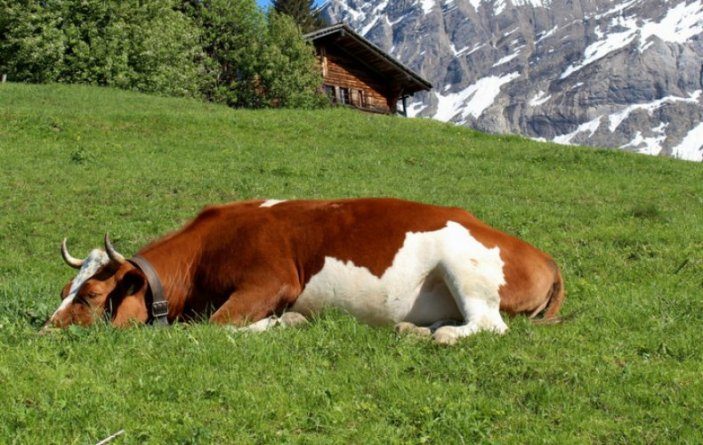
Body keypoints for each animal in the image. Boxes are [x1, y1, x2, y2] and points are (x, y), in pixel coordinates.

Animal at [45, 198, 564, 344]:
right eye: (66, 288)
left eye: (90, 296)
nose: (45, 331)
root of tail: (545, 256)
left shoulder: (272, 280)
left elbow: (213, 327)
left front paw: (283, 322)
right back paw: (414, 329)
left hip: (464, 266)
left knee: (488, 324)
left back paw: (442, 336)